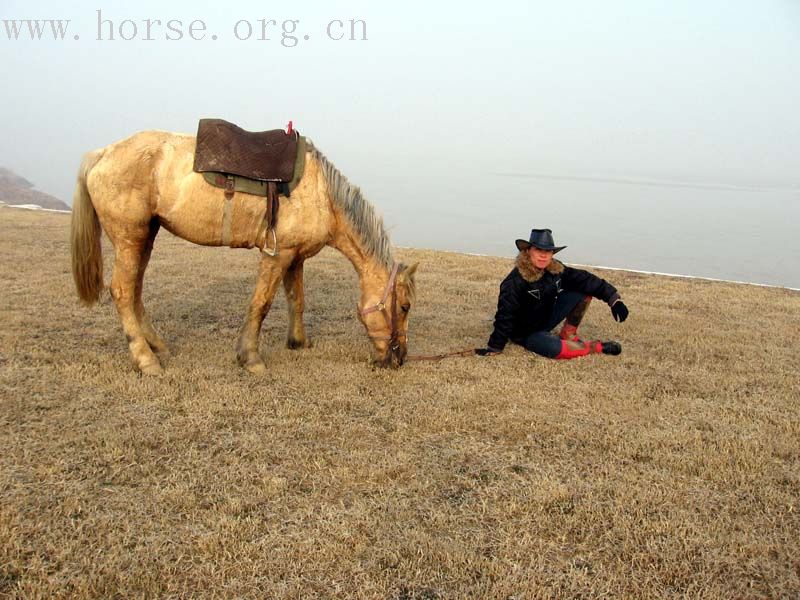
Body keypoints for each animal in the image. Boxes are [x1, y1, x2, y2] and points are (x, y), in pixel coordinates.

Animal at [70, 130, 418, 376]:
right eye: (404, 306)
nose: (399, 358)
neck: (323, 196)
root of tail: (102, 154)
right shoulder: (278, 254)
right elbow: (261, 304)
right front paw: (250, 358)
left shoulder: (296, 256)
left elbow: (297, 300)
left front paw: (298, 343)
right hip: (130, 237)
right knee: (122, 292)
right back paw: (146, 361)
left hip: (146, 236)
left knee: (136, 291)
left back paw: (157, 347)